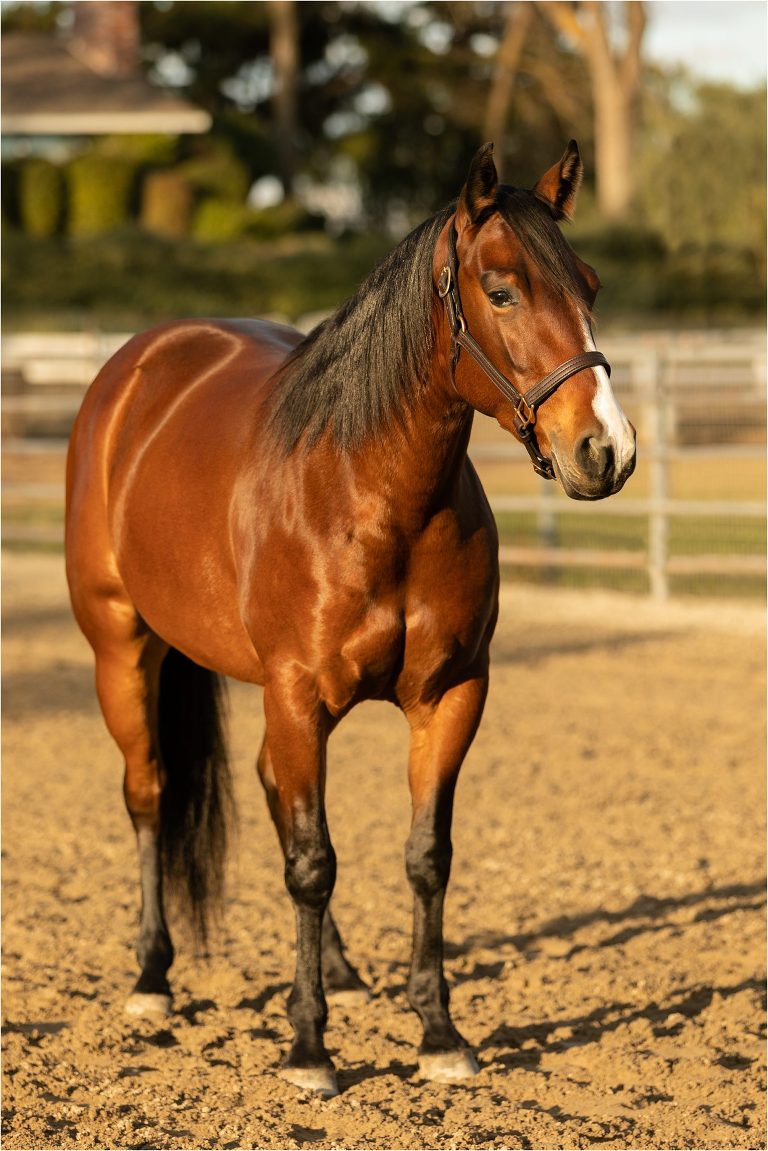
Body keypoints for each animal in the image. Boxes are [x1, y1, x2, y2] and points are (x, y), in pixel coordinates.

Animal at [65, 141, 636, 1096]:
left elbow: (424, 855)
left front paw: (438, 1032)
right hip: (123, 649)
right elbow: (312, 862)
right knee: (150, 795)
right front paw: (308, 1049)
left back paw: (336, 968)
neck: (372, 497)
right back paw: (152, 978)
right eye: (502, 289)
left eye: (589, 284)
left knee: (268, 789)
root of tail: (138, 365)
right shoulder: (298, 694)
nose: (606, 451)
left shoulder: (450, 696)